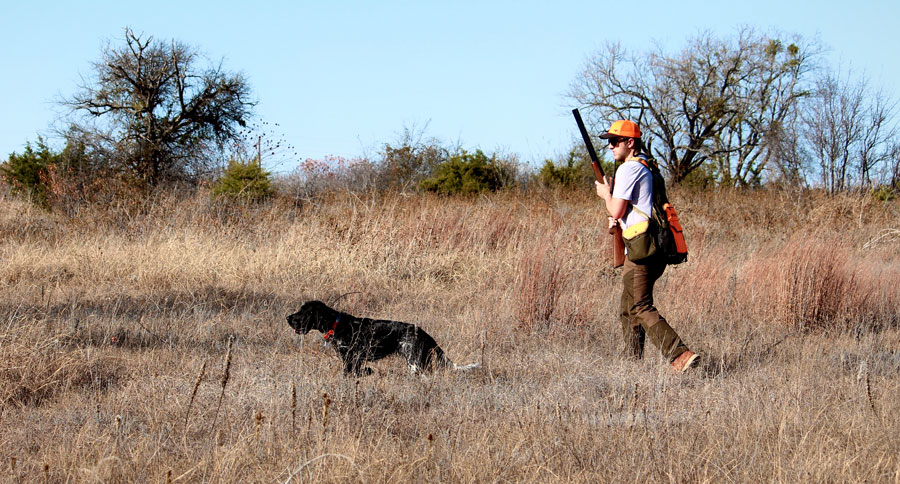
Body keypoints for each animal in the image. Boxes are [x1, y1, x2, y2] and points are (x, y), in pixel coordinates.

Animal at [290, 300, 482, 376]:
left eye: (304, 312)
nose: (288, 318)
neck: (337, 325)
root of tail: (426, 334)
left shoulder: (353, 358)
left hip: (414, 363)